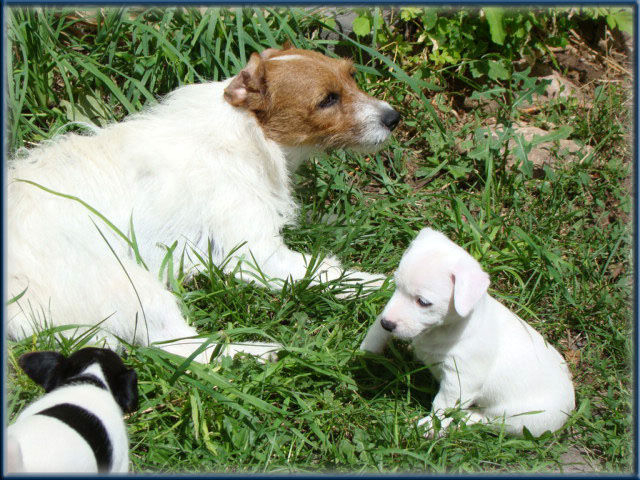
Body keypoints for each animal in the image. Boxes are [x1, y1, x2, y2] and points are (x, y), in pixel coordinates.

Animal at [5, 46, 398, 364]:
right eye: (327, 100)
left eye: (350, 74)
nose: (394, 118)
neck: (245, 131)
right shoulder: (256, 254)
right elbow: (335, 274)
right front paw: (393, 285)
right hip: (130, 283)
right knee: (183, 348)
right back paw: (255, 352)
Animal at [360, 229, 576, 438]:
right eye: (397, 285)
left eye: (423, 302)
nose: (387, 323)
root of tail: (569, 407)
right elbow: (377, 330)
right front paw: (367, 348)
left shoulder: (461, 379)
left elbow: (443, 405)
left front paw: (429, 426)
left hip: (522, 420)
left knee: (487, 421)